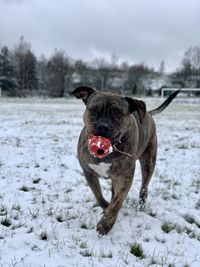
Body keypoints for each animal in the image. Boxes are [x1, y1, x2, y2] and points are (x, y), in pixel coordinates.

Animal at [71, 87, 180, 236]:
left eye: (117, 113)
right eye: (94, 110)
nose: (103, 126)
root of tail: (148, 113)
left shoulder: (125, 177)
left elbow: (117, 201)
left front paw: (106, 224)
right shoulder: (89, 172)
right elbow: (99, 196)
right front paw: (105, 207)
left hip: (148, 162)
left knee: (144, 187)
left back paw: (141, 204)